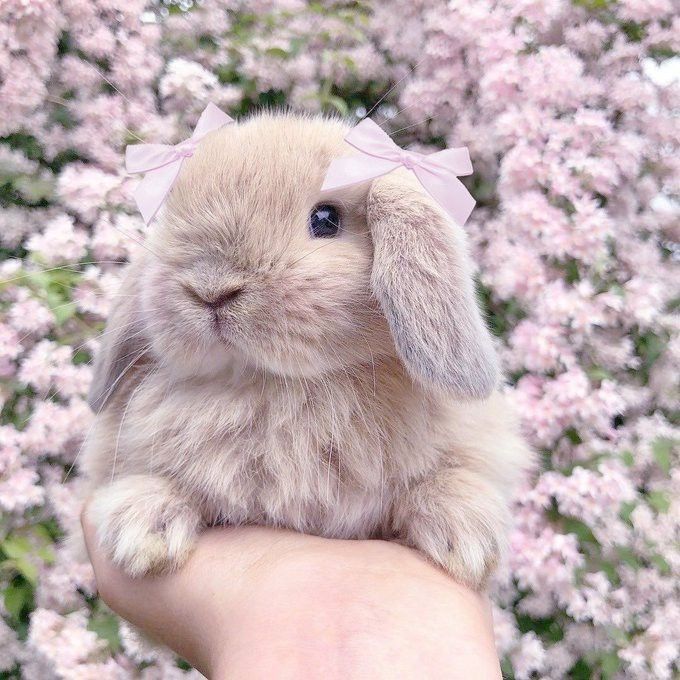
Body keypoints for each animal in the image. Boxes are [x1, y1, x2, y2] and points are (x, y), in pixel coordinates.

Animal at [79, 113, 532, 588]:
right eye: (170, 219)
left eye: (326, 219)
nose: (210, 290)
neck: (276, 388)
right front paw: (141, 527)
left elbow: (449, 478)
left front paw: (466, 538)